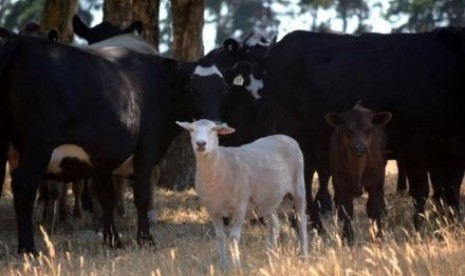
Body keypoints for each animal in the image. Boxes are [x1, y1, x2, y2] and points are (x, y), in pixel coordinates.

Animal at [0, 33, 227, 253]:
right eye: (191, 88)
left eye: (222, 89)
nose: (213, 124)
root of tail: (20, 41)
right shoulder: (146, 149)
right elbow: (141, 196)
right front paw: (146, 240)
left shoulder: (102, 157)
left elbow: (106, 198)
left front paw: (113, 241)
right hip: (37, 149)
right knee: (23, 186)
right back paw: (28, 248)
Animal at [176, 118, 306, 268]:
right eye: (191, 130)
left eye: (214, 130)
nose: (201, 144)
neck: (222, 164)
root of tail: (285, 137)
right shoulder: (213, 210)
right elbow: (220, 236)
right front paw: (223, 266)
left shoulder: (240, 206)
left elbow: (233, 237)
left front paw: (237, 267)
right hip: (266, 201)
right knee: (274, 223)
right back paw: (270, 259)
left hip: (298, 188)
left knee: (301, 221)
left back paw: (304, 257)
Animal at [322, 102, 392, 245]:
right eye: (348, 130)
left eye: (369, 129)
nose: (359, 147)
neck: (357, 171)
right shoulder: (341, 184)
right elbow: (347, 211)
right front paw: (348, 237)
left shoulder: (376, 182)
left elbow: (373, 208)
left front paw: (378, 235)